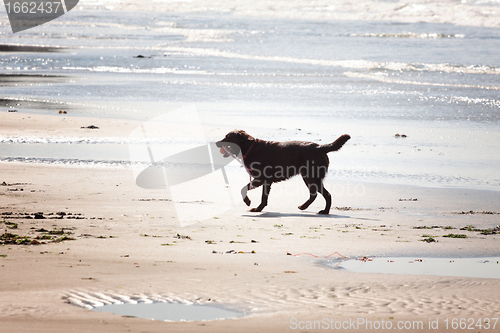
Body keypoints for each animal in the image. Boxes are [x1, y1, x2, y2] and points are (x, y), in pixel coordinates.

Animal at [216, 128, 352, 214]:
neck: (250, 148)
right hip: (307, 177)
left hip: (313, 177)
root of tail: (320, 147)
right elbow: (246, 190)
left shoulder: (263, 179)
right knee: (313, 194)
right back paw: (303, 206)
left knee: (327, 195)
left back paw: (325, 211)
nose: (216, 142)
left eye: (228, 137)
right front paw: (253, 205)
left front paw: (254, 206)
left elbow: (257, 194)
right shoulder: (260, 180)